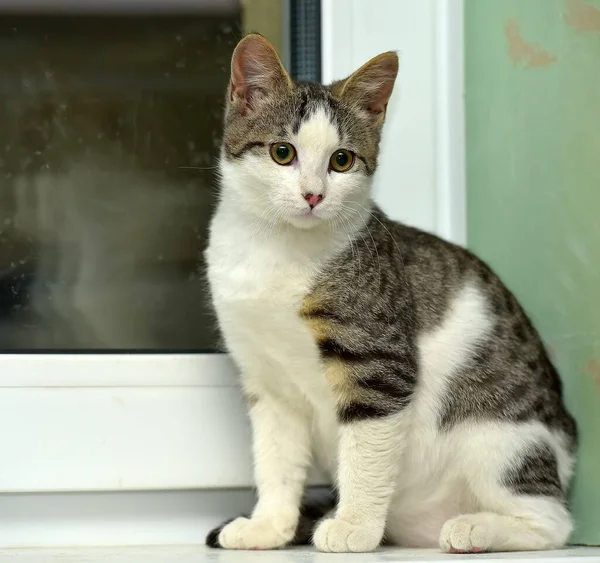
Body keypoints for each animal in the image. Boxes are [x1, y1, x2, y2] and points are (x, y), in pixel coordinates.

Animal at [205, 35, 576, 556]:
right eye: (282, 152)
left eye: (341, 160)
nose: (314, 195)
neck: (277, 250)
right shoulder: (267, 379)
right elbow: (276, 459)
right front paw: (269, 526)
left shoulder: (379, 361)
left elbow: (367, 448)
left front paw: (355, 526)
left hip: (502, 440)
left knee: (553, 523)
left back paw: (475, 529)